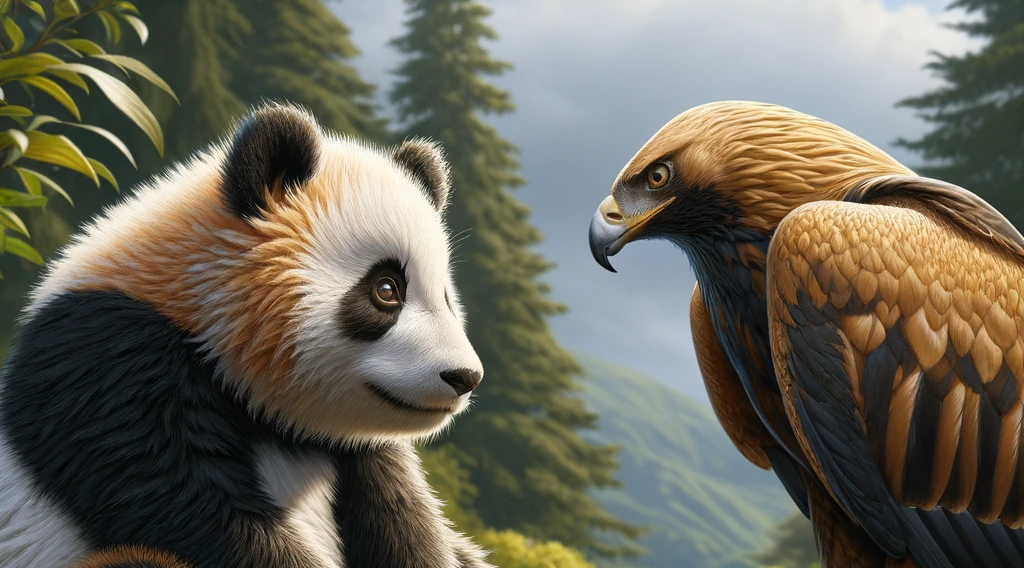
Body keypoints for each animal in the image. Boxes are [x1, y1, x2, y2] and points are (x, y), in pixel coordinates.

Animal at [0, 102, 493, 568]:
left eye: (447, 296)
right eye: (386, 290)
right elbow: (196, 506)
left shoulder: (357, 448)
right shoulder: (109, 363)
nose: (464, 376)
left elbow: (401, 512)